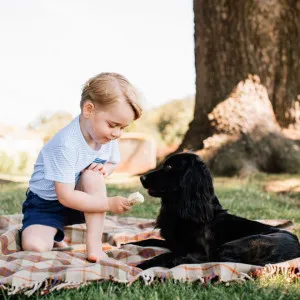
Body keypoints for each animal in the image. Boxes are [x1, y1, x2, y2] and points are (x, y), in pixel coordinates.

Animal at [130, 152, 300, 270]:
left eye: (169, 167)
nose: (142, 178)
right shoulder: (174, 242)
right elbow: (148, 240)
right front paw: (128, 244)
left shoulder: (200, 251)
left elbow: (169, 254)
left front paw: (142, 265)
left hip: (230, 246)